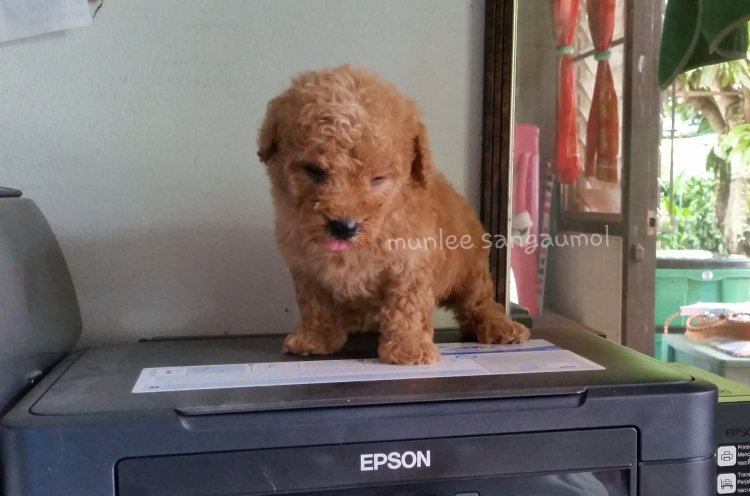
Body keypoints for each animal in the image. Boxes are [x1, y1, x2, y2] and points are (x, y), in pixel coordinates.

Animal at [257, 65, 530, 365]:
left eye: (378, 178)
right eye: (313, 170)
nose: (343, 226)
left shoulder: (411, 262)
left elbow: (407, 307)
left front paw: (408, 348)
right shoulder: (307, 268)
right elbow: (315, 304)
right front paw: (315, 337)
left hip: (470, 269)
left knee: (478, 300)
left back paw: (499, 325)